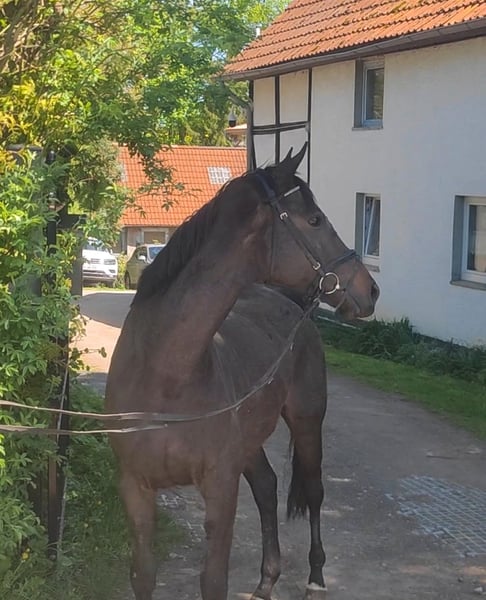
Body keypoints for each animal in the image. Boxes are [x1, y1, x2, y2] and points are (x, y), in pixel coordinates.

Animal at [105, 144, 379, 600]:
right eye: (314, 219)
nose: (370, 290)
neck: (166, 377)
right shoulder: (135, 488)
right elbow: (142, 574)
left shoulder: (220, 487)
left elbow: (214, 580)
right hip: (251, 440)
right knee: (267, 488)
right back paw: (267, 582)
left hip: (307, 421)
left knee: (315, 492)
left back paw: (316, 578)